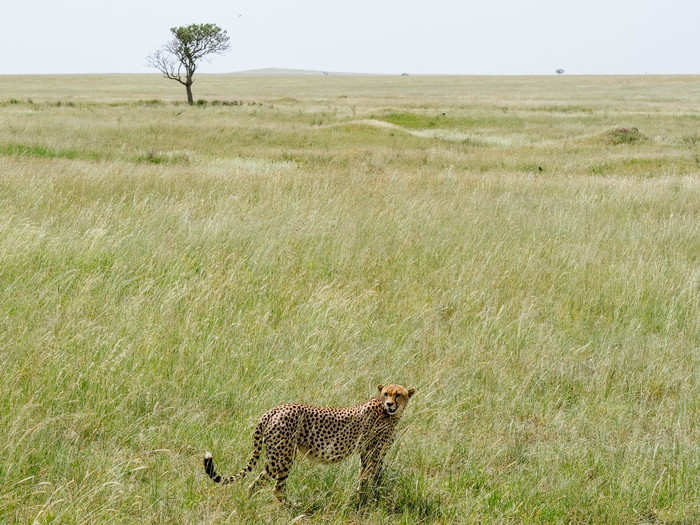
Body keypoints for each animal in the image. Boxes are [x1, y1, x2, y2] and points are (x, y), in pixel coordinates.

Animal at [205, 384, 418, 500]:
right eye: (386, 394)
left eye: (398, 394)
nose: (389, 404)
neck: (388, 414)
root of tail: (274, 409)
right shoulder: (374, 452)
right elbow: (370, 477)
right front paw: (365, 500)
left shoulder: (367, 452)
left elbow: (367, 476)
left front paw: (366, 497)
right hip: (283, 457)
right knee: (271, 486)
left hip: (278, 456)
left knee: (262, 484)